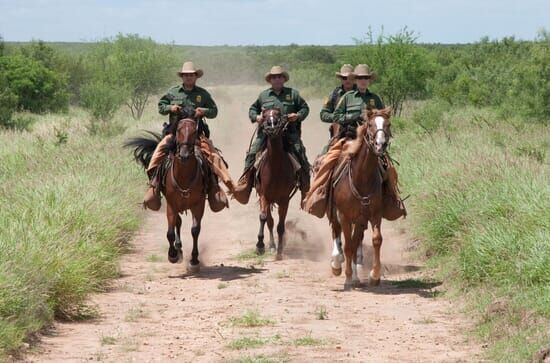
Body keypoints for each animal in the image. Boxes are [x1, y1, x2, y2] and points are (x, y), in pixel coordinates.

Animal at [258, 108, 300, 258]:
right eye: (264, 116)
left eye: (278, 115)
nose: (271, 127)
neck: (275, 167)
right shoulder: (264, 196)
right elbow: (264, 218)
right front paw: (260, 246)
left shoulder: (284, 199)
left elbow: (281, 226)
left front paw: (280, 251)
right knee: (269, 222)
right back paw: (271, 246)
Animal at [330, 107, 394, 290]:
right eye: (370, 124)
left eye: (388, 124)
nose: (380, 144)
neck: (362, 178)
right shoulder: (344, 216)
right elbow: (347, 246)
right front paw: (347, 279)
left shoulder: (373, 215)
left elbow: (376, 240)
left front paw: (374, 276)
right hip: (336, 214)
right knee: (337, 233)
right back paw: (337, 265)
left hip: (359, 220)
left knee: (355, 241)